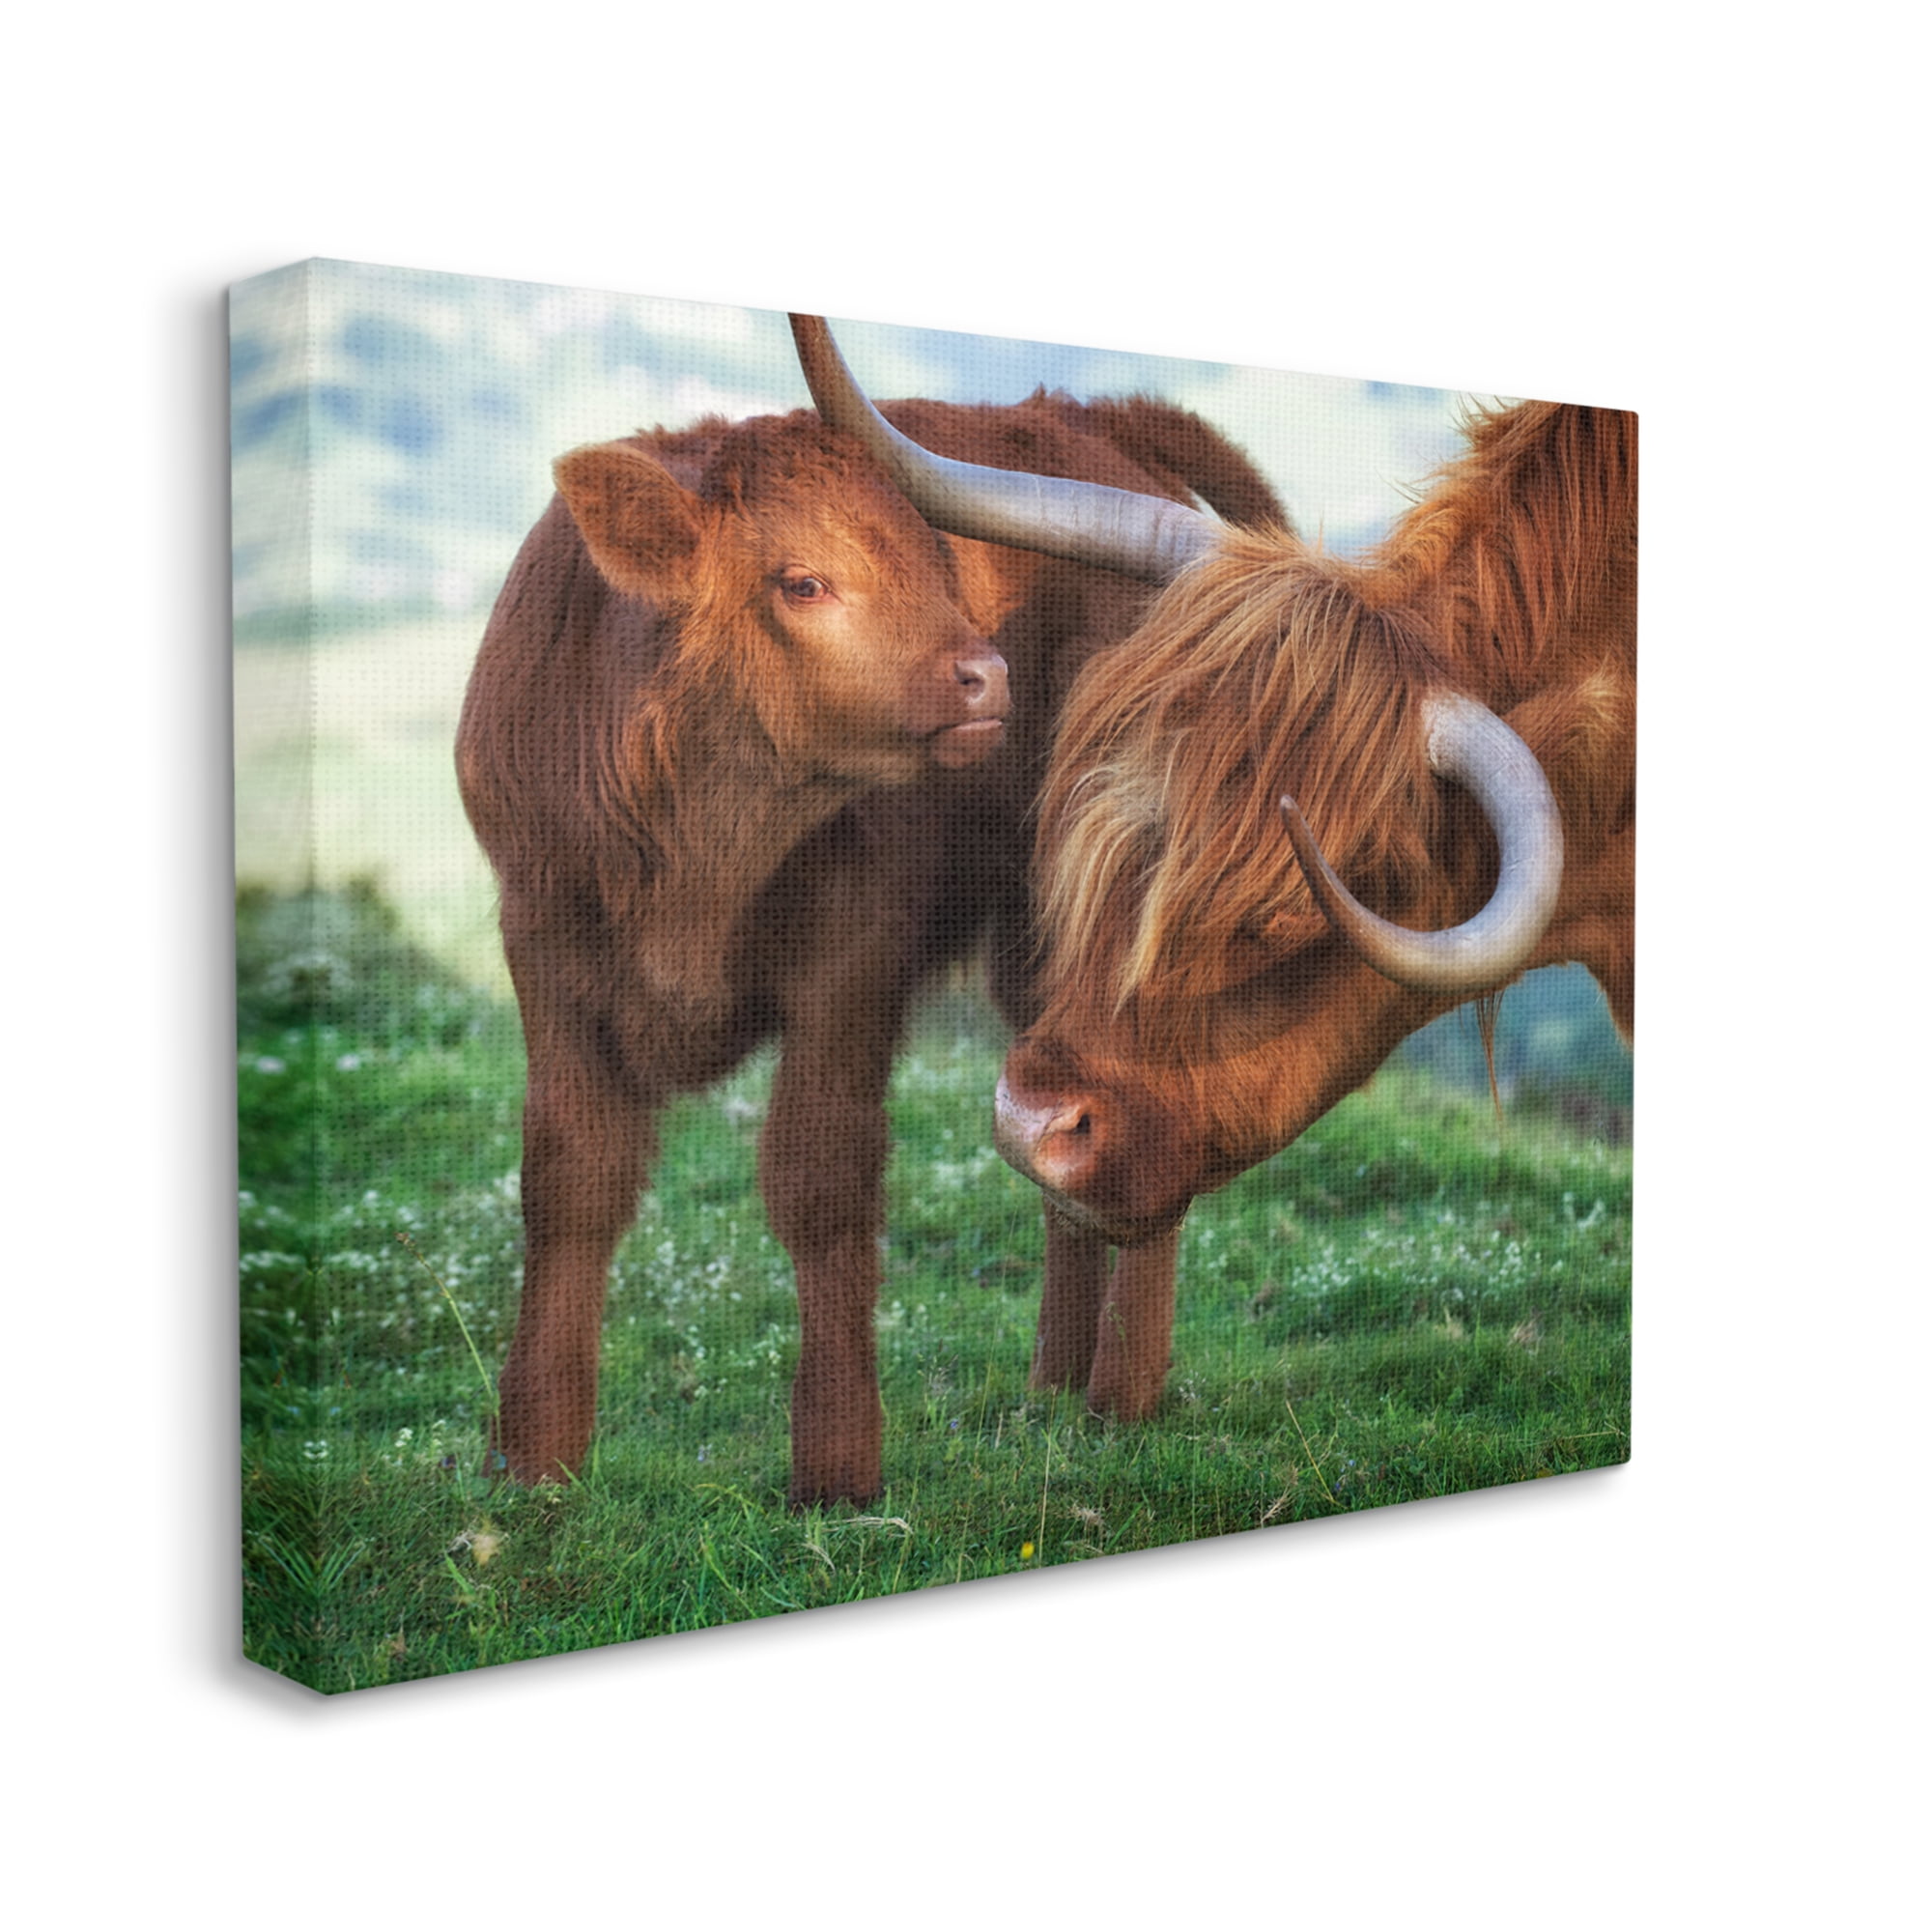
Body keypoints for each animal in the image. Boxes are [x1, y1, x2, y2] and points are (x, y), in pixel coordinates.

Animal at [456, 326, 1288, 1503]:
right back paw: (1053, 1385)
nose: (986, 674)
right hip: (1029, 939)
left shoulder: (851, 961)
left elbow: (821, 1187)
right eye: (801, 581)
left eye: (941, 567)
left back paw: (1123, 1393)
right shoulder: (541, 943)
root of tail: (1094, 418)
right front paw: (534, 1460)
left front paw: (838, 1469)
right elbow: (569, 1181)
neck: (696, 851)